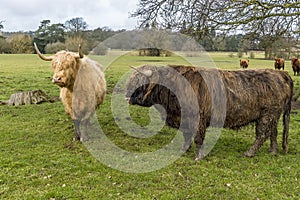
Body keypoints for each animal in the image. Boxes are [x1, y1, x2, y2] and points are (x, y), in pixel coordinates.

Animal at [126, 65, 292, 161]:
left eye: (139, 81)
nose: (127, 96)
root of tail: (279, 73)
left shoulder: (197, 118)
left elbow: (198, 138)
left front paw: (198, 157)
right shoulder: (184, 119)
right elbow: (186, 136)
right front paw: (184, 150)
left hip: (267, 114)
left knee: (262, 134)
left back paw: (249, 153)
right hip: (272, 115)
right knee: (273, 132)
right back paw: (273, 151)